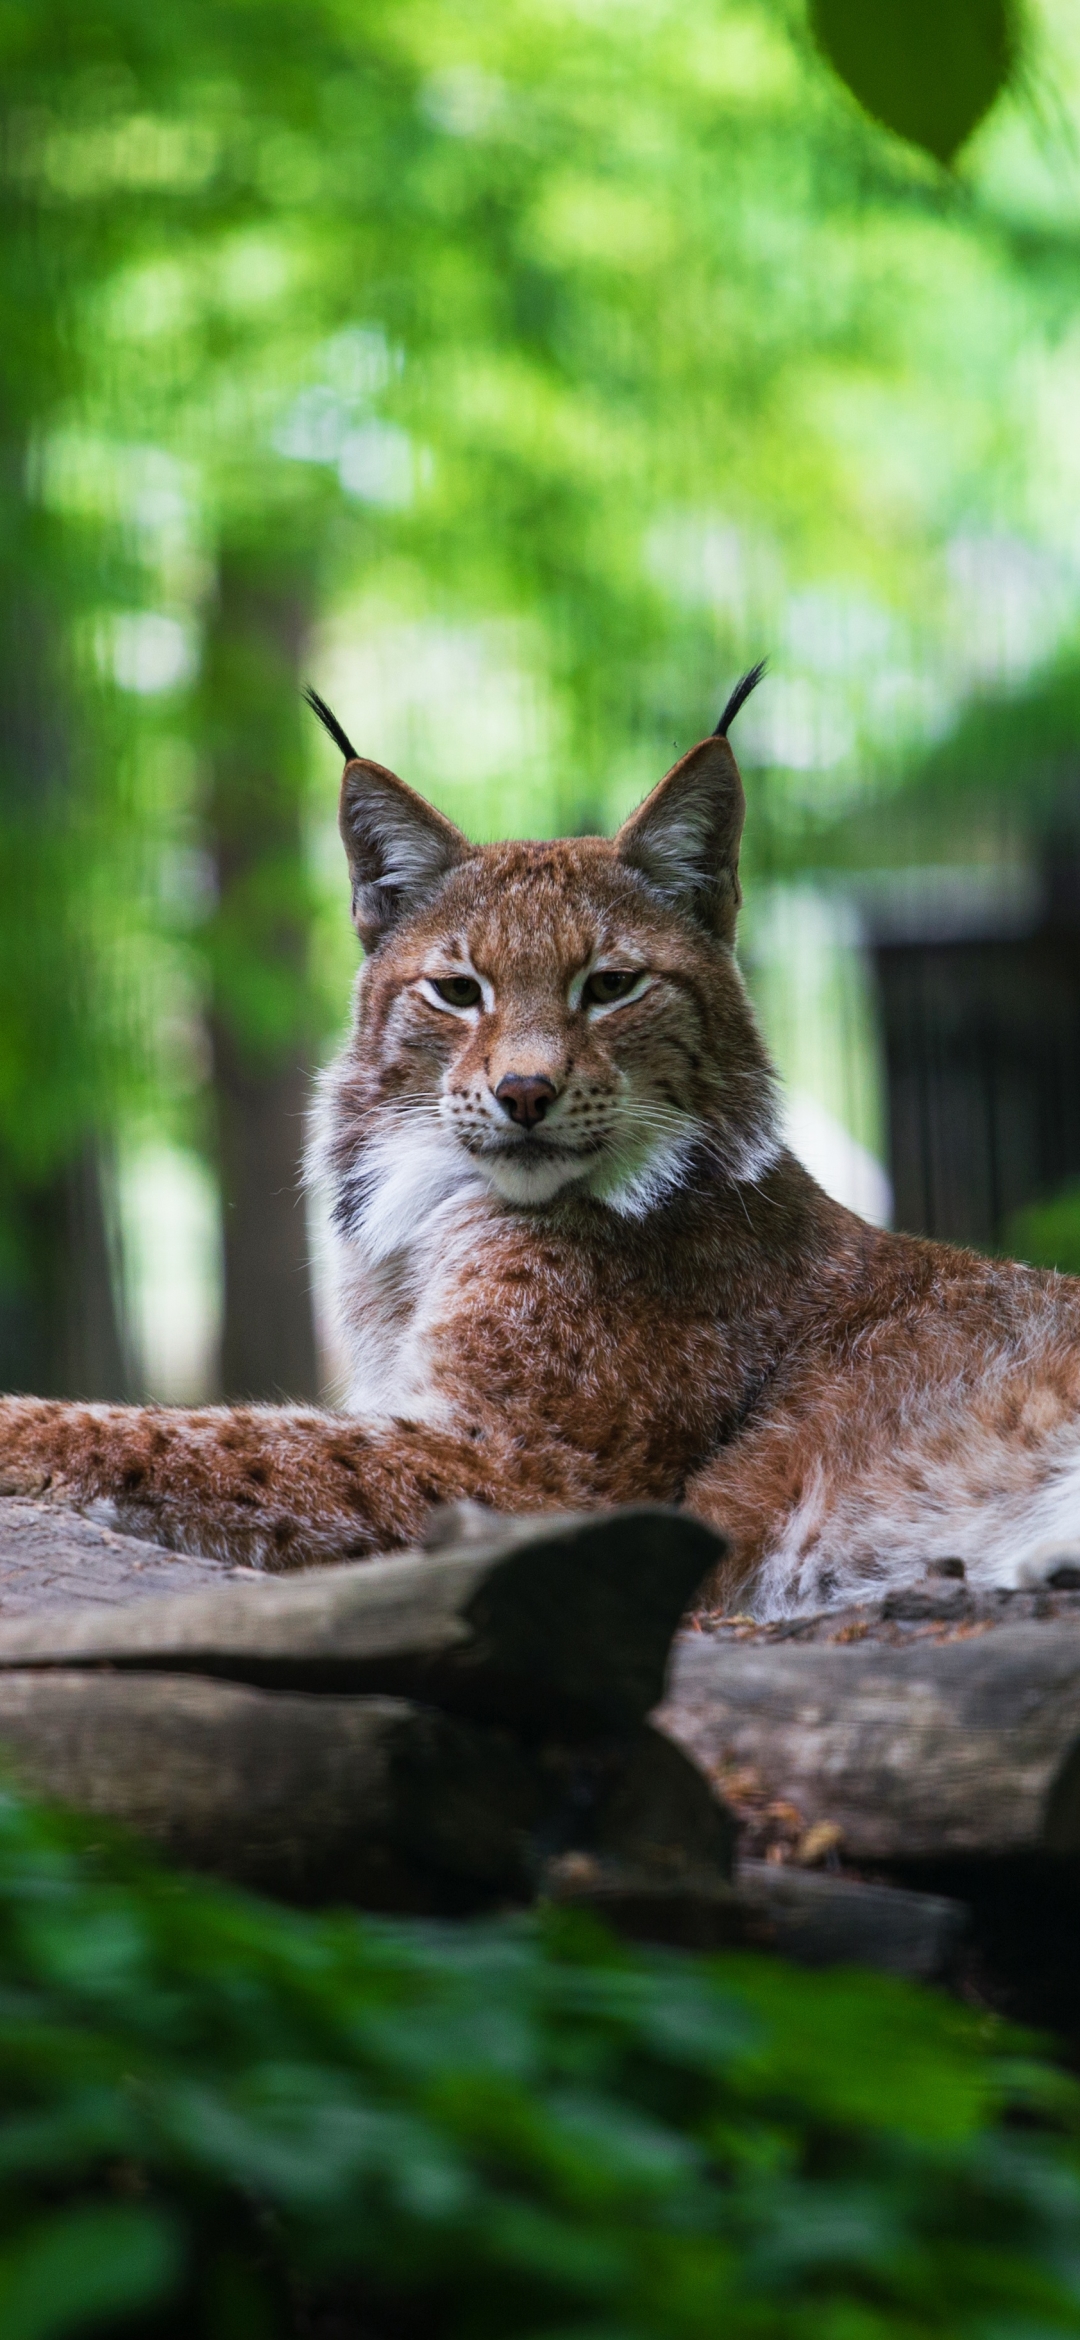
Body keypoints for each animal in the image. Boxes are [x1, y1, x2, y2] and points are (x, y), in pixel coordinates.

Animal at [2, 669, 1080, 1619]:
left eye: (610, 986)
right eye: (457, 991)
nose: (525, 1093)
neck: (438, 1209)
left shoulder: (529, 1474)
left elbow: (205, 1438)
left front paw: (17, 1423)